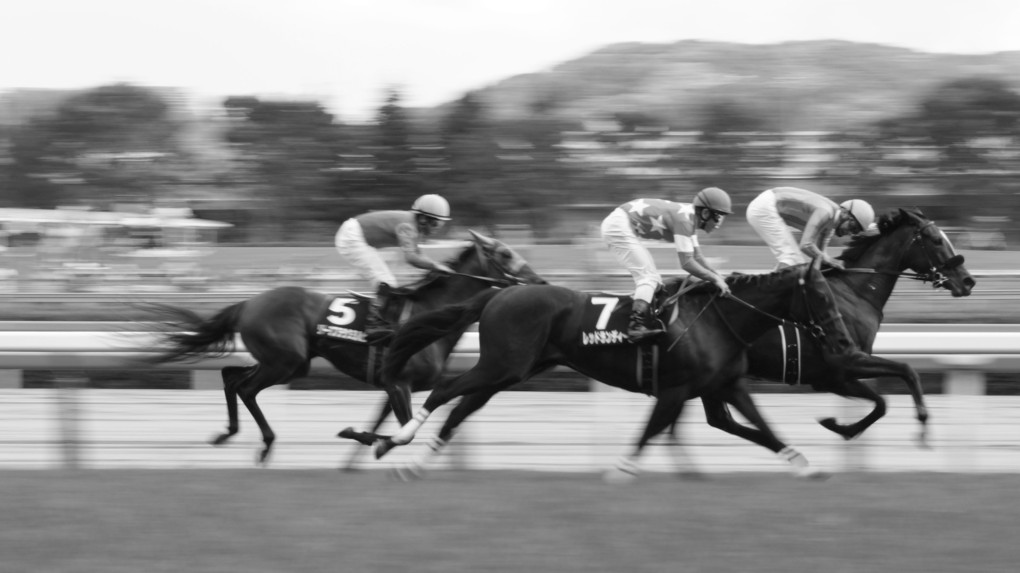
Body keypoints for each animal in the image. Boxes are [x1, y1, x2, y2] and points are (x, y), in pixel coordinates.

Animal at [147, 229, 546, 460]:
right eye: (505, 254)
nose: (540, 282)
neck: (429, 315)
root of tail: (248, 303)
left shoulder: (392, 385)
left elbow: (393, 427)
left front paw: (364, 440)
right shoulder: (399, 383)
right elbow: (404, 433)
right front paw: (363, 437)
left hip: (281, 360)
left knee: (231, 376)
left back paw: (227, 433)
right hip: (287, 362)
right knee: (246, 388)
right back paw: (266, 443)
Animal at [367, 256, 860, 479]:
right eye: (821, 296)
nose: (844, 341)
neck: (720, 318)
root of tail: (499, 292)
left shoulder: (727, 386)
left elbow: (763, 425)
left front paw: (805, 465)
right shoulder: (676, 389)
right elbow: (651, 430)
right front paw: (619, 472)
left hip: (509, 370)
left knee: (460, 407)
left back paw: (416, 462)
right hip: (501, 365)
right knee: (442, 393)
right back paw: (397, 440)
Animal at [742, 206, 971, 444]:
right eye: (937, 240)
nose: (968, 281)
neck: (856, 291)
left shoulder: (835, 377)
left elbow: (882, 402)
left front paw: (838, 426)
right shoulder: (845, 363)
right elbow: (906, 370)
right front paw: (922, 420)